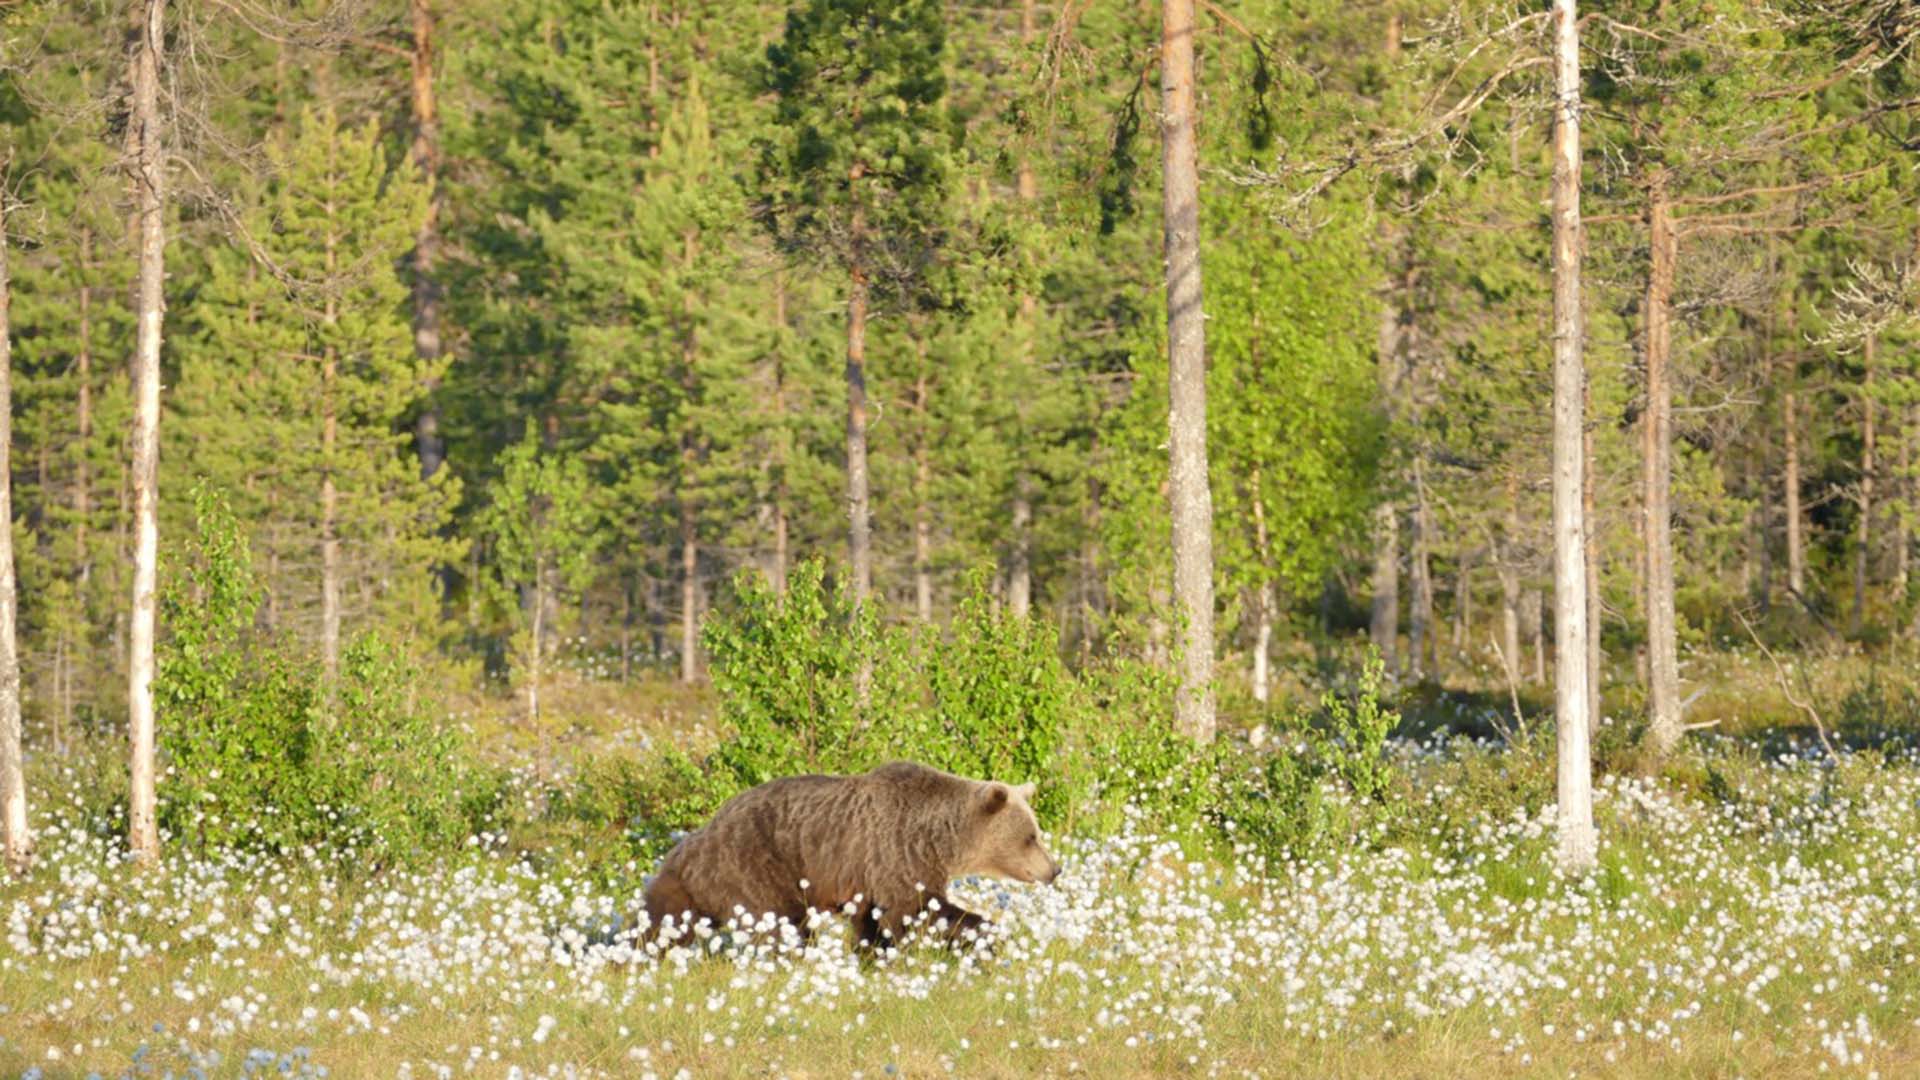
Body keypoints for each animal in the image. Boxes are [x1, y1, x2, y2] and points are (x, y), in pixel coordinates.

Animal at [640, 760, 1059, 951]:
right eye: (1031, 836)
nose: (1054, 869)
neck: (939, 840)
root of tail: (699, 837)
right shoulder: (897, 852)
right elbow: (917, 909)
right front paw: (986, 936)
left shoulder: (869, 876)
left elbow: (874, 924)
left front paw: (872, 957)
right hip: (756, 866)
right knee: (782, 925)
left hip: (695, 882)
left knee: (662, 915)